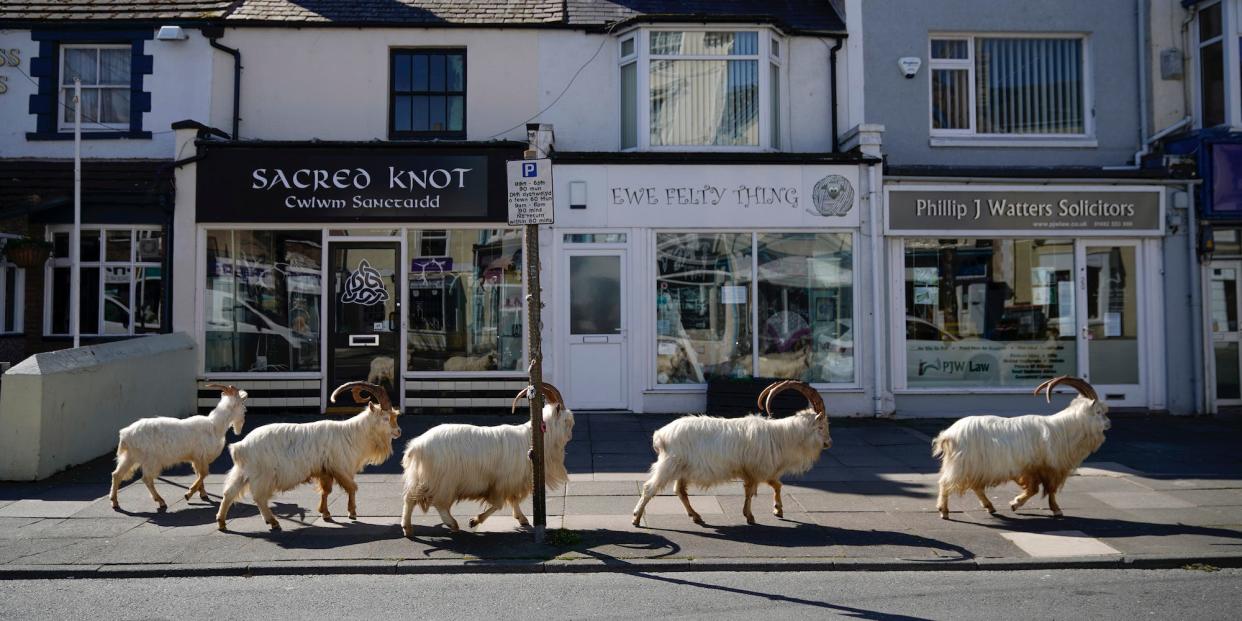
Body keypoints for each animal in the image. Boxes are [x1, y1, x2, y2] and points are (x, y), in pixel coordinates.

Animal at [110, 385, 248, 511]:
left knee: (116, 474)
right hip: (151, 460)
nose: (246, 412)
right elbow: (204, 473)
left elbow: (200, 474)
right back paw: (161, 501)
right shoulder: (200, 456)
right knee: (147, 479)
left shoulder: (195, 459)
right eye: (242, 403)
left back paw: (115, 502)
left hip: (130, 457)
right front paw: (188, 494)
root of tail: (125, 434)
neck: (214, 425)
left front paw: (203, 494)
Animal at [216, 380, 399, 531]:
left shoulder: (325, 470)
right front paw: (352, 513)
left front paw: (325, 513)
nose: (398, 431)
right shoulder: (341, 467)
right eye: (385, 417)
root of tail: (241, 446)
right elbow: (352, 487)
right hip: (263, 475)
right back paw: (273, 522)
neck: (352, 434)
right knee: (259, 497)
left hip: (242, 472)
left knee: (229, 492)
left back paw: (222, 522)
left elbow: (326, 491)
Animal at [399, 380, 573, 536]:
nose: (570, 436)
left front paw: (522, 519)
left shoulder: (511, 482)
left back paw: (408, 528)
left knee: (410, 498)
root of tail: (417, 446)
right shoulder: (501, 482)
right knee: (438, 503)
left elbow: (513, 500)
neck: (533, 439)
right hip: (444, 481)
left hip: (423, 478)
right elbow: (498, 504)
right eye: (567, 421)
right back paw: (452, 524)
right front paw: (474, 521)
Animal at [630, 380, 834, 526]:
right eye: (821, 426)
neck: (781, 436)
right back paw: (636, 518)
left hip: (682, 470)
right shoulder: (756, 469)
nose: (829, 443)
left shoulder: (758, 471)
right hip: (669, 465)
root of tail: (661, 435)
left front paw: (777, 510)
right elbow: (753, 491)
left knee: (680, 491)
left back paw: (696, 516)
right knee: (649, 488)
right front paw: (751, 516)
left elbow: (776, 485)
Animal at [929, 375, 1112, 521]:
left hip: (975, 466)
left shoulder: (1034, 469)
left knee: (975, 486)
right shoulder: (1046, 467)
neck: (1062, 430)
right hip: (963, 465)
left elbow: (1035, 489)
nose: (1109, 424)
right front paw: (1055, 510)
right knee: (945, 482)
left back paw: (990, 507)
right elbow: (1046, 490)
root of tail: (949, 434)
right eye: (1099, 411)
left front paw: (1015, 504)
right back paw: (944, 511)